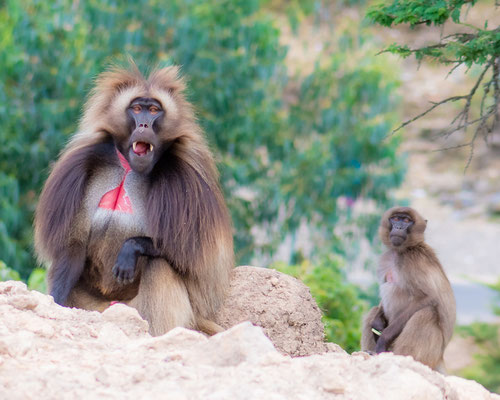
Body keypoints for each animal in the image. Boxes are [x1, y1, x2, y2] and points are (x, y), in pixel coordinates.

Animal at [35, 64, 234, 336]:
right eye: (137, 108)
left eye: (154, 110)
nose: (143, 124)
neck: (129, 167)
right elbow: (73, 246)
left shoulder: (187, 182)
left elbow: (187, 256)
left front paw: (130, 248)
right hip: (91, 306)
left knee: (158, 267)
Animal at [362, 206, 456, 372]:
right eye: (395, 219)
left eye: (406, 220)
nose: (399, 227)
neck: (400, 252)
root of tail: (440, 358)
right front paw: (378, 324)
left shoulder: (413, 261)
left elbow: (429, 297)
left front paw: (383, 339)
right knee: (373, 311)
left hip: (431, 353)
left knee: (426, 313)